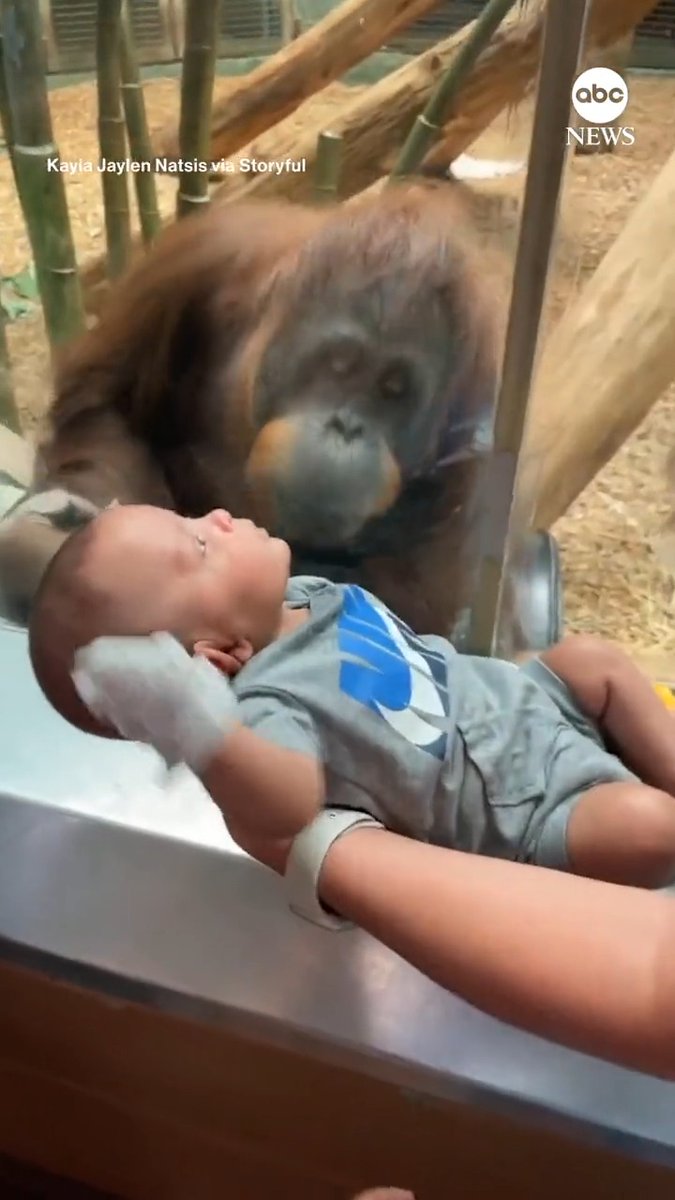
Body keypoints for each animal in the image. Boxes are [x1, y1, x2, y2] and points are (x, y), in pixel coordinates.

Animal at [0, 187, 501, 642]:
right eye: (341, 364)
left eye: (393, 390)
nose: (347, 427)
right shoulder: (198, 259)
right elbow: (109, 407)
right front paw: (63, 525)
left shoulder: (474, 430)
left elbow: (412, 601)